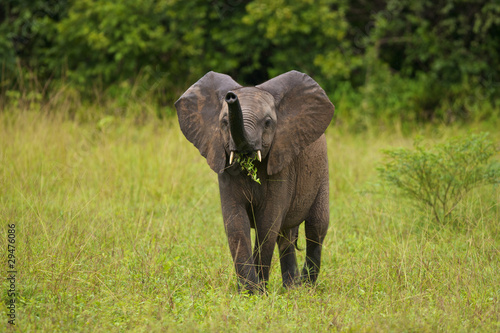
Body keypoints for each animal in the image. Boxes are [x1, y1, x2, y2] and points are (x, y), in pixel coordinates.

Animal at [174, 69, 334, 290]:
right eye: (224, 123)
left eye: (267, 123)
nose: (231, 97)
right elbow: (235, 222)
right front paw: (248, 292)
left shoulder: (281, 163)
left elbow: (267, 224)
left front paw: (259, 291)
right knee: (286, 236)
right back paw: (291, 288)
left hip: (322, 171)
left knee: (316, 228)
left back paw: (306, 288)